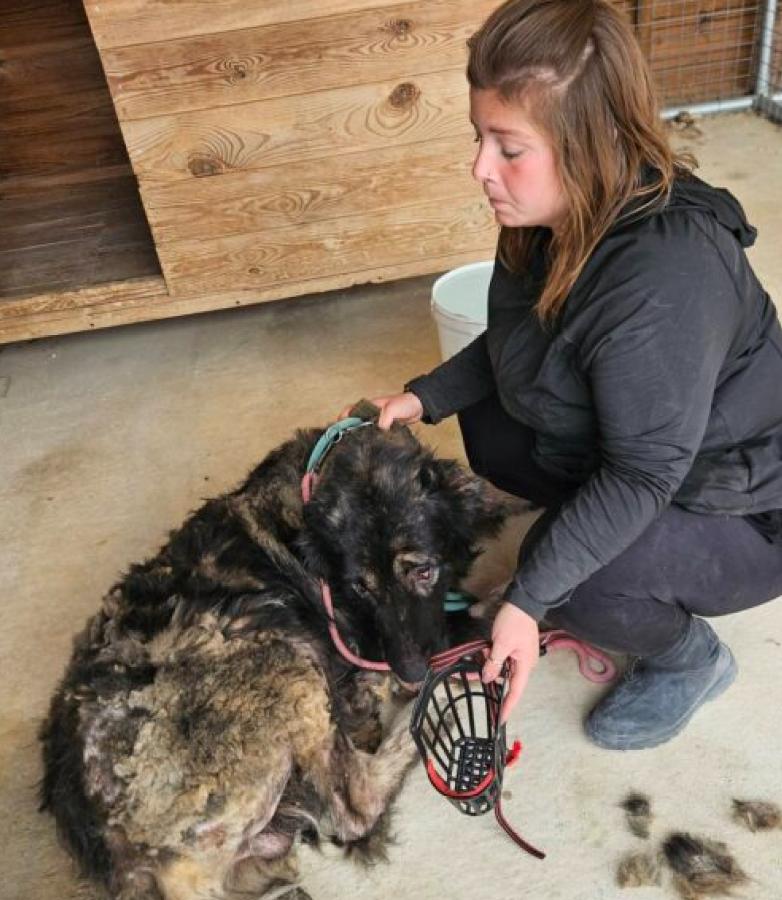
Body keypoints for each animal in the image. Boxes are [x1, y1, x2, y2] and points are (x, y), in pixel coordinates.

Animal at [40, 420, 512, 899]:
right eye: (360, 588)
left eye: (423, 571)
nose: (412, 674)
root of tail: (124, 858)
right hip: (276, 654)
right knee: (354, 808)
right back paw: (435, 714)